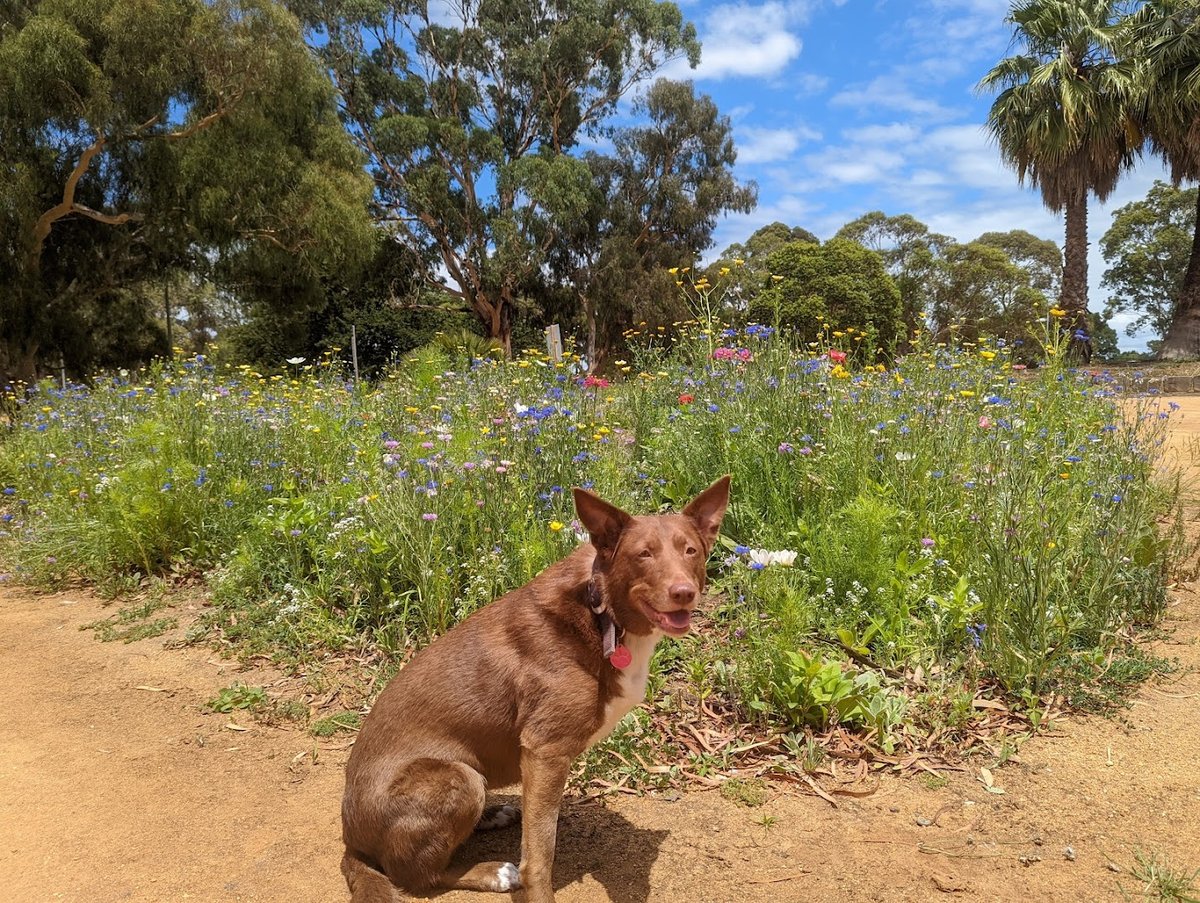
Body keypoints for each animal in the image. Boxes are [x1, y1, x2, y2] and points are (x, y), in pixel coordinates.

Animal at [340, 476, 731, 902]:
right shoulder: (545, 751)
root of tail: (351, 841)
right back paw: (492, 872)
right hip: (458, 778)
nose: (683, 592)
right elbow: (540, 854)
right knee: (418, 877)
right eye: (644, 554)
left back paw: (494, 814)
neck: (600, 610)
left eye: (690, 550)